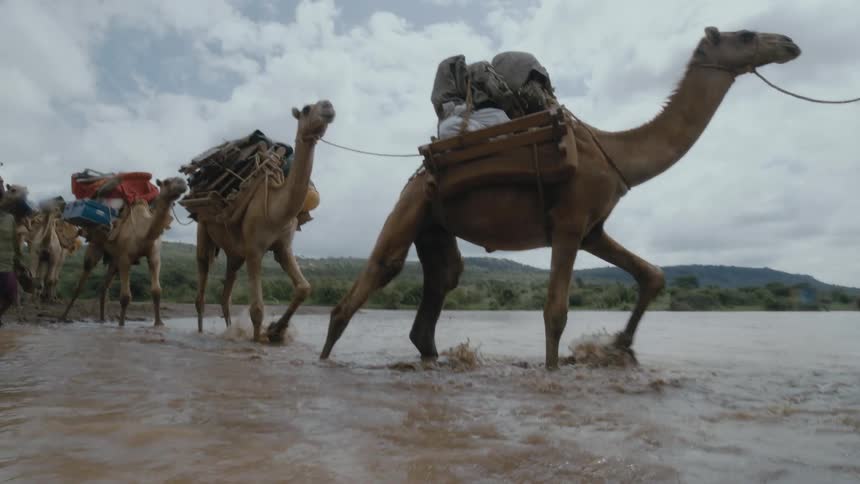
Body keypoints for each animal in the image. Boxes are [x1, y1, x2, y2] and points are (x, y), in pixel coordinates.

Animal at [60, 177, 188, 326]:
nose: (182, 183)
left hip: (114, 260)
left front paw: (158, 323)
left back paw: (102, 319)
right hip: (95, 246)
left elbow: (156, 291)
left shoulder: (154, 256)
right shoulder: (126, 258)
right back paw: (63, 317)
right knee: (80, 283)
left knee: (104, 287)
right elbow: (125, 296)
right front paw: (121, 324)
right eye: (166, 182)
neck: (143, 232)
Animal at [193, 100, 335, 342]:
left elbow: (304, 288)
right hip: (203, 228)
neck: (277, 211)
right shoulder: (254, 250)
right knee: (202, 281)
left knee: (226, 294)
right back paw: (201, 332)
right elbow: (257, 309)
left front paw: (276, 330)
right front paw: (260, 337)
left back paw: (228, 331)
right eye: (307, 109)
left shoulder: (283, 247)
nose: (328, 105)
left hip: (235, 253)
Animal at [319, 27, 802, 369]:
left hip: (434, 224)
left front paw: (620, 346)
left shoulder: (593, 229)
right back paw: (323, 359)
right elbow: (555, 311)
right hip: (411, 206)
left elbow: (653, 274)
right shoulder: (569, 224)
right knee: (367, 282)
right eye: (746, 35)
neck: (615, 153)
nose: (790, 43)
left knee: (441, 283)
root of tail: (420, 170)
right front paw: (556, 370)